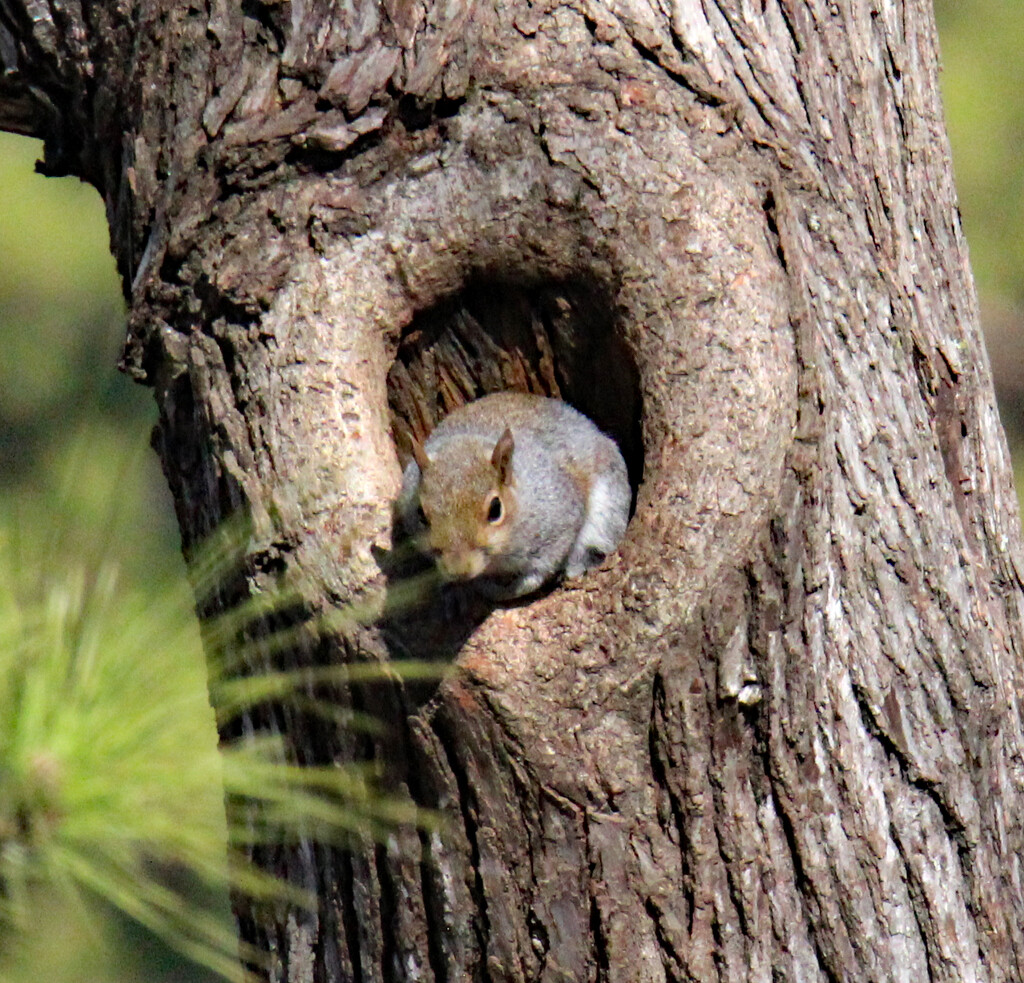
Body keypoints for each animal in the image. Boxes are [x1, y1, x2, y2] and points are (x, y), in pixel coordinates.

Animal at [393, 391, 626, 597]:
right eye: (421, 514)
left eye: (495, 509)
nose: (459, 570)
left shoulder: (560, 517)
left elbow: (538, 573)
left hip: (607, 509)